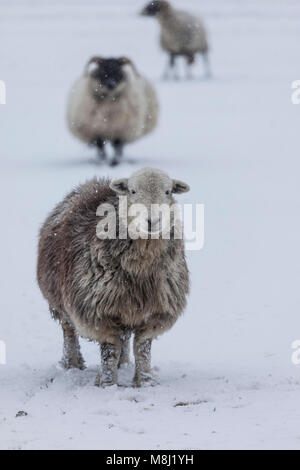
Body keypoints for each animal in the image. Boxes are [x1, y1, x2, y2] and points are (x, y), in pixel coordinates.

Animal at [37, 167, 191, 388]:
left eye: (168, 191)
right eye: (133, 191)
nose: (152, 221)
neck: (141, 272)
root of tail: (94, 182)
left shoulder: (155, 312)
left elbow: (142, 348)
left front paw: (145, 380)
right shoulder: (99, 312)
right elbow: (109, 351)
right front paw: (108, 382)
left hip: (126, 307)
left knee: (125, 339)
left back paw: (124, 364)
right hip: (59, 302)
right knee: (69, 332)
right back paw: (71, 364)